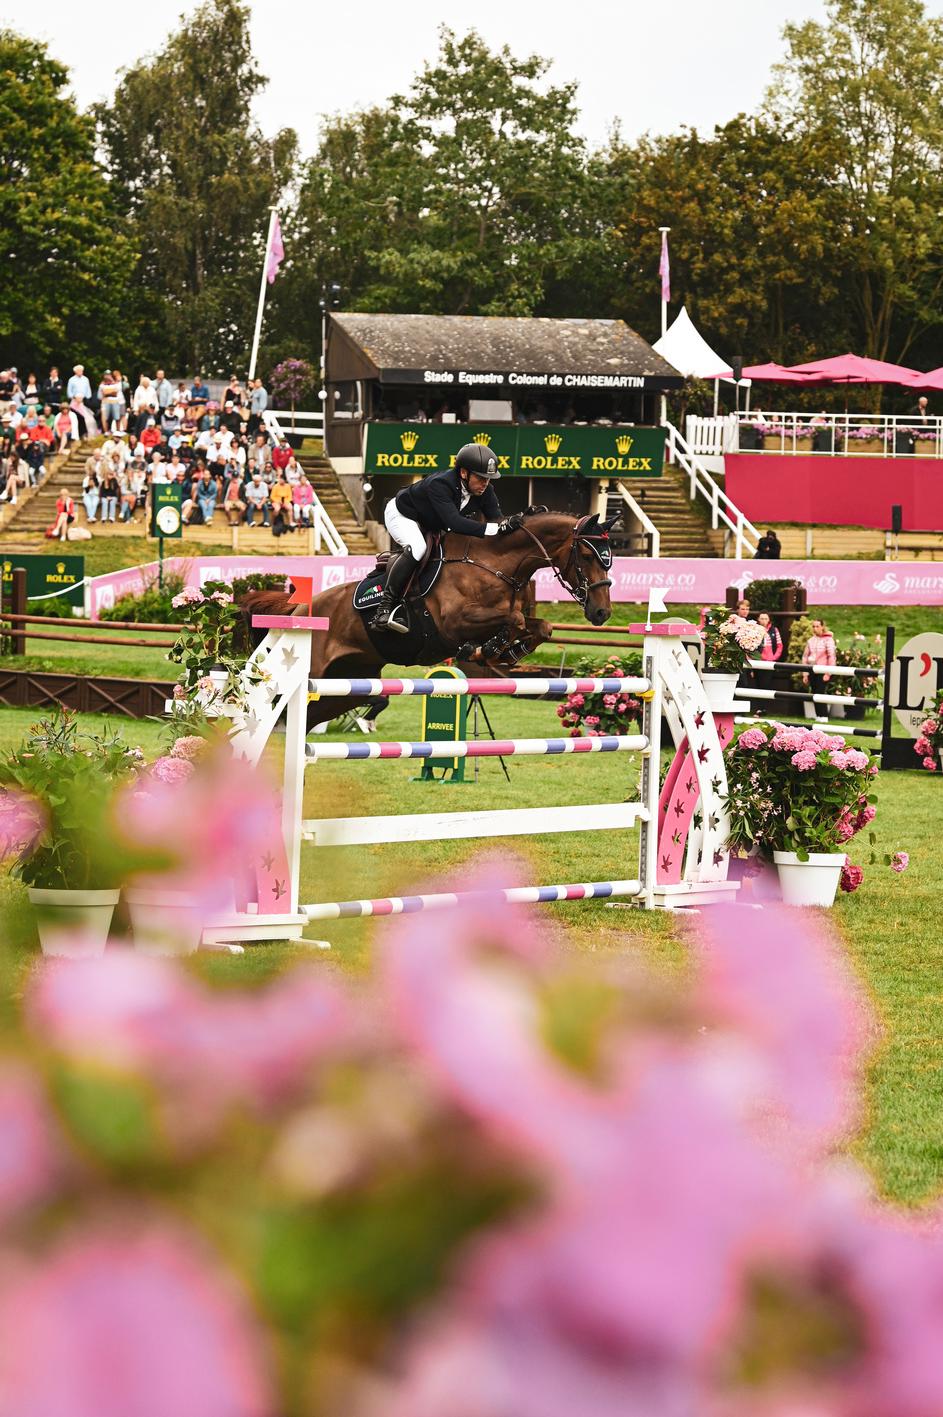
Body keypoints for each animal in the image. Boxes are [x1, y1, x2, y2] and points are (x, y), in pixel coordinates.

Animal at [241, 510, 618, 731]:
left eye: (609, 559)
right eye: (587, 556)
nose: (602, 613)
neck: (494, 563)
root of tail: (297, 612)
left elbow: (540, 626)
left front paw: (507, 651)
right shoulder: (453, 623)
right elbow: (513, 618)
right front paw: (490, 647)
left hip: (345, 686)